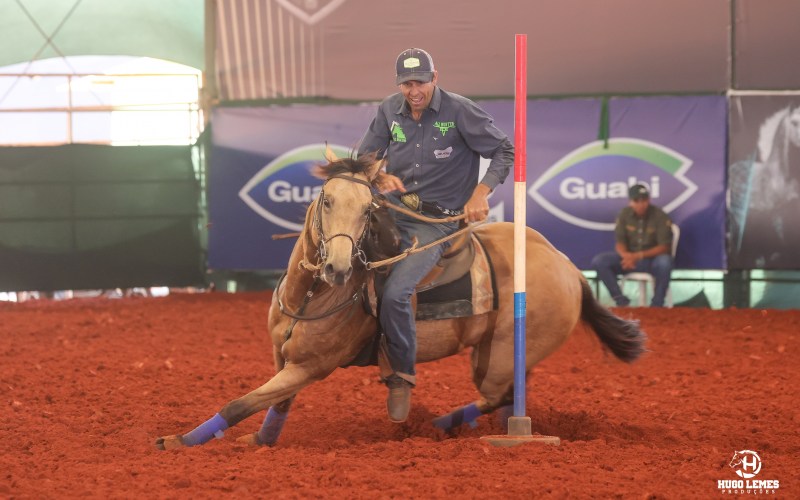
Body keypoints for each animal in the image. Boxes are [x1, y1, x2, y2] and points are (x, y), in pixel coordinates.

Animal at [155, 149, 644, 450]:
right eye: (326, 200)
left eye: (368, 208)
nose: (337, 268)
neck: (311, 294)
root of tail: (567, 267)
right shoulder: (284, 358)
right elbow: (272, 403)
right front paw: (259, 441)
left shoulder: (312, 366)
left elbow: (240, 403)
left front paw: (179, 441)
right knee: (507, 398)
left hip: (501, 355)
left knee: (496, 396)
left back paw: (434, 425)